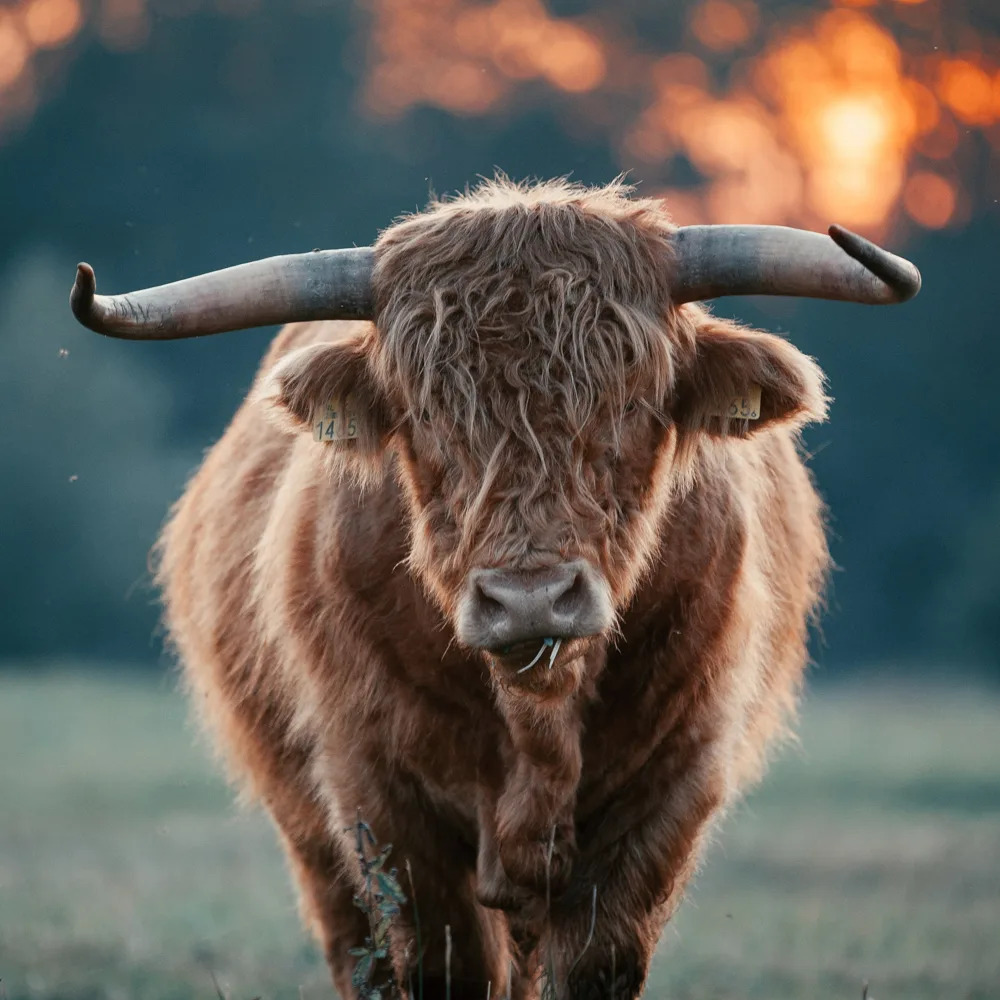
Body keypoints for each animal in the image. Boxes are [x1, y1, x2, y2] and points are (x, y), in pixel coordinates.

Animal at [70, 180, 920, 1000]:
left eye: (632, 404)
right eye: (423, 416)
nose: (531, 600)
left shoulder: (672, 785)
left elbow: (598, 963)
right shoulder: (378, 792)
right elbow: (446, 967)